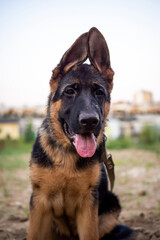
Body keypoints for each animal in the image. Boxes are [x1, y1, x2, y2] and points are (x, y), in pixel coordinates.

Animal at [27, 27, 134, 240]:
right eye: (70, 91)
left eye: (99, 92)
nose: (90, 121)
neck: (68, 154)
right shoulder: (39, 202)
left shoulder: (88, 205)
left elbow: (90, 234)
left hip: (111, 202)